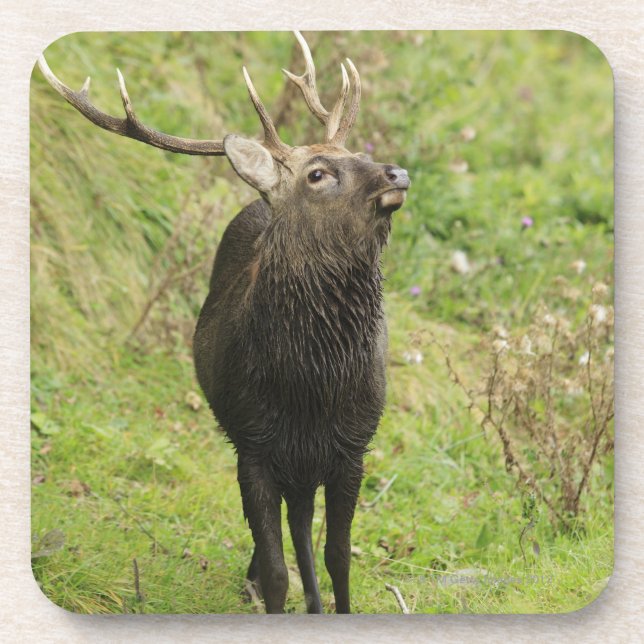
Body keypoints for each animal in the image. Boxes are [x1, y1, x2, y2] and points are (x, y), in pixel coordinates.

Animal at [38, 31, 410, 614]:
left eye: (359, 154)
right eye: (317, 174)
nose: (396, 173)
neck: (310, 388)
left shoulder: (354, 445)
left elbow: (340, 559)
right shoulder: (252, 442)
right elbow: (278, 569)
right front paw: (269, 590)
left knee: (303, 523)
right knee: (290, 527)